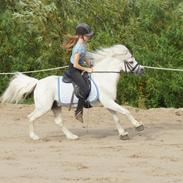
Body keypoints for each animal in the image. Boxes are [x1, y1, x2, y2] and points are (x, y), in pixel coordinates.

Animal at [1, 44, 144, 140]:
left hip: (55, 106)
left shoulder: (108, 103)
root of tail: (38, 83)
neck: (103, 77)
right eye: (131, 61)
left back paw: (72, 136)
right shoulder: (109, 102)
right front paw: (138, 125)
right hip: (43, 107)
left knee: (59, 122)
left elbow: (116, 118)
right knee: (31, 117)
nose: (142, 69)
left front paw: (123, 134)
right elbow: (126, 111)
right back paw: (34, 136)